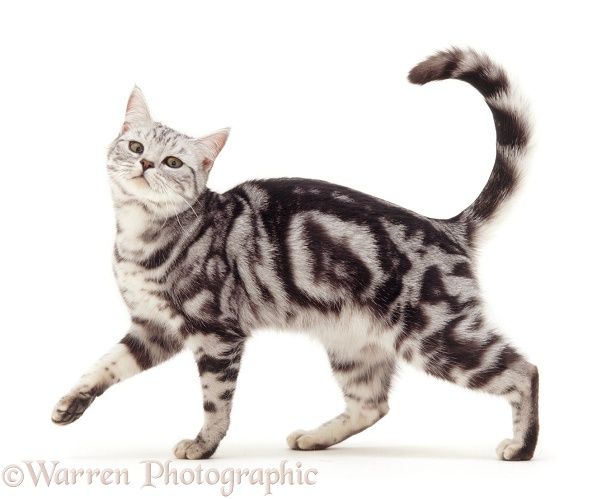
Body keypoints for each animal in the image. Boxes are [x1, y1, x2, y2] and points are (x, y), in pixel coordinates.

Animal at [53, 48, 540, 462]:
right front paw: (71, 402)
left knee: (525, 370)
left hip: (439, 336)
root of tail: (445, 226)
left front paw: (203, 445)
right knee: (372, 405)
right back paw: (315, 437)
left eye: (173, 162)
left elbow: (216, 402)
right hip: (354, 347)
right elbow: (106, 365)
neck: (140, 235)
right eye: (135, 147)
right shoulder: (153, 328)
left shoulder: (217, 333)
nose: (146, 164)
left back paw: (521, 447)